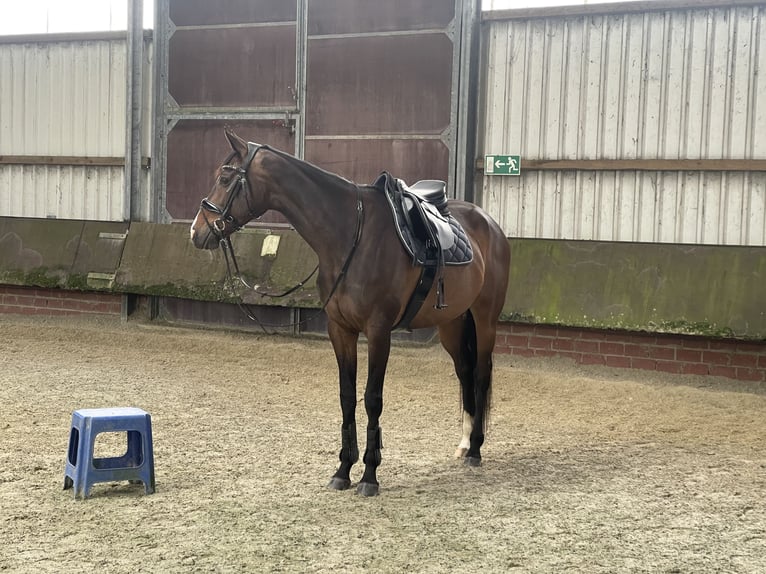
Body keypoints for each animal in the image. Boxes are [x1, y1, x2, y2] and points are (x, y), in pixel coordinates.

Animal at [190, 130, 510, 496]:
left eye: (225, 178)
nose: (196, 231)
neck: (350, 236)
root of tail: (489, 224)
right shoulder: (340, 329)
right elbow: (347, 397)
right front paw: (343, 469)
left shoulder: (378, 331)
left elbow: (372, 398)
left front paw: (370, 475)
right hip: (452, 324)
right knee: (465, 372)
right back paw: (464, 444)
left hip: (485, 320)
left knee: (481, 373)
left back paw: (476, 449)